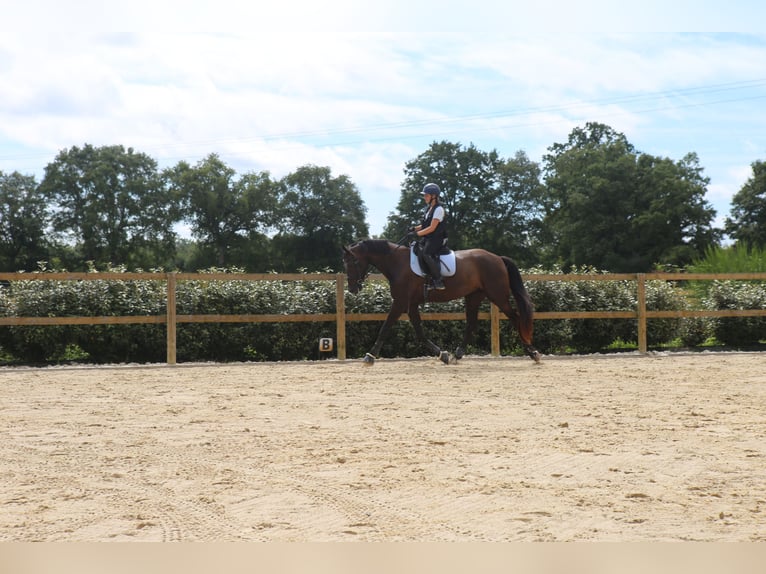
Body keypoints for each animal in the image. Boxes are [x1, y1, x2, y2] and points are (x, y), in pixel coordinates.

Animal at [342, 239, 541, 365]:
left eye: (353, 262)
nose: (352, 289)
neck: (397, 263)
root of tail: (498, 257)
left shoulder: (400, 302)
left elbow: (385, 327)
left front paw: (370, 356)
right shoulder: (410, 304)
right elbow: (420, 333)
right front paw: (442, 354)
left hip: (497, 295)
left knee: (515, 318)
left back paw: (533, 353)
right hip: (474, 296)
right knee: (471, 324)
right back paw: (457, 354)